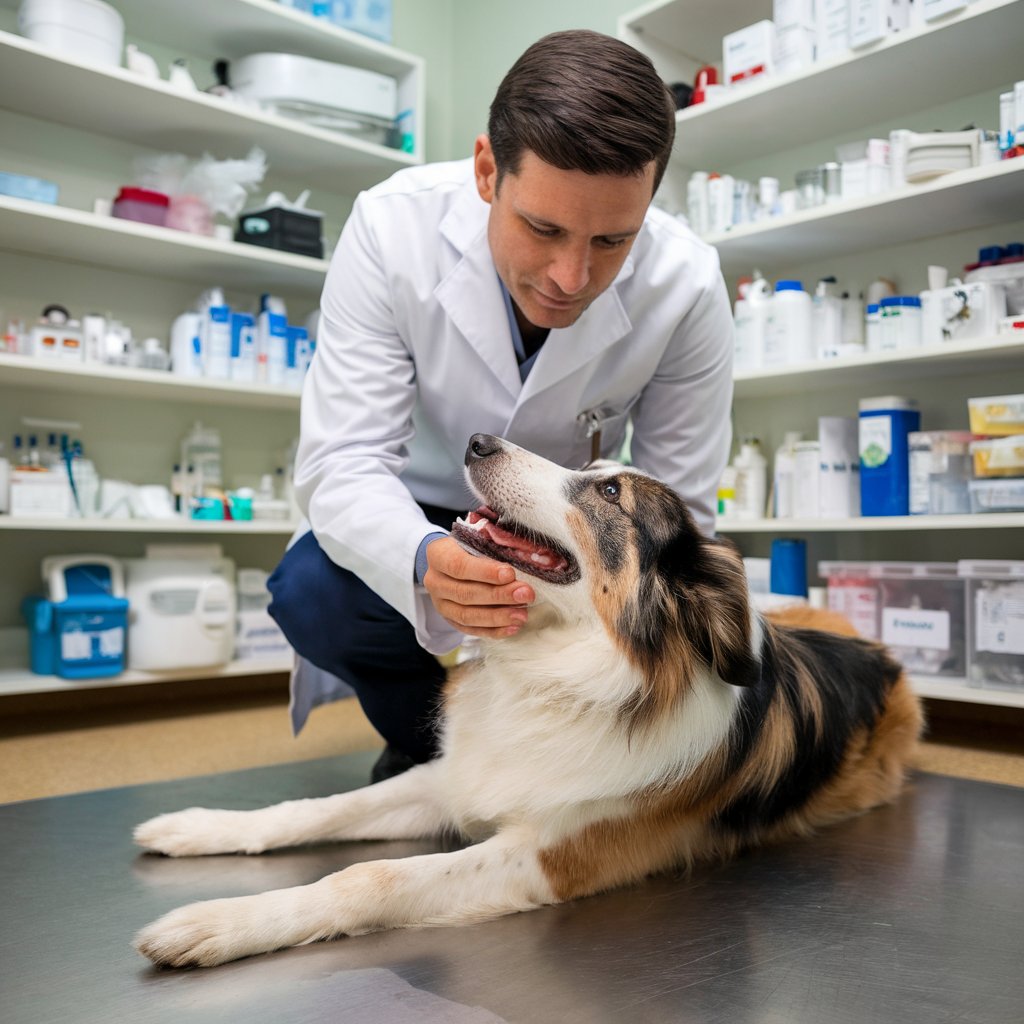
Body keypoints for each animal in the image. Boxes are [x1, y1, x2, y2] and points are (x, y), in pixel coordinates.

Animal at [132, 432, 925, 966]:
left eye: (609, 494)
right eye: (593, 473)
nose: (479, 440)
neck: (562, 675)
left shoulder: (559, 851)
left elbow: (370, 876)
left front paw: (217, 924)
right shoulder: (453, 778)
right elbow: (319, 809)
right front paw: (200, 828)